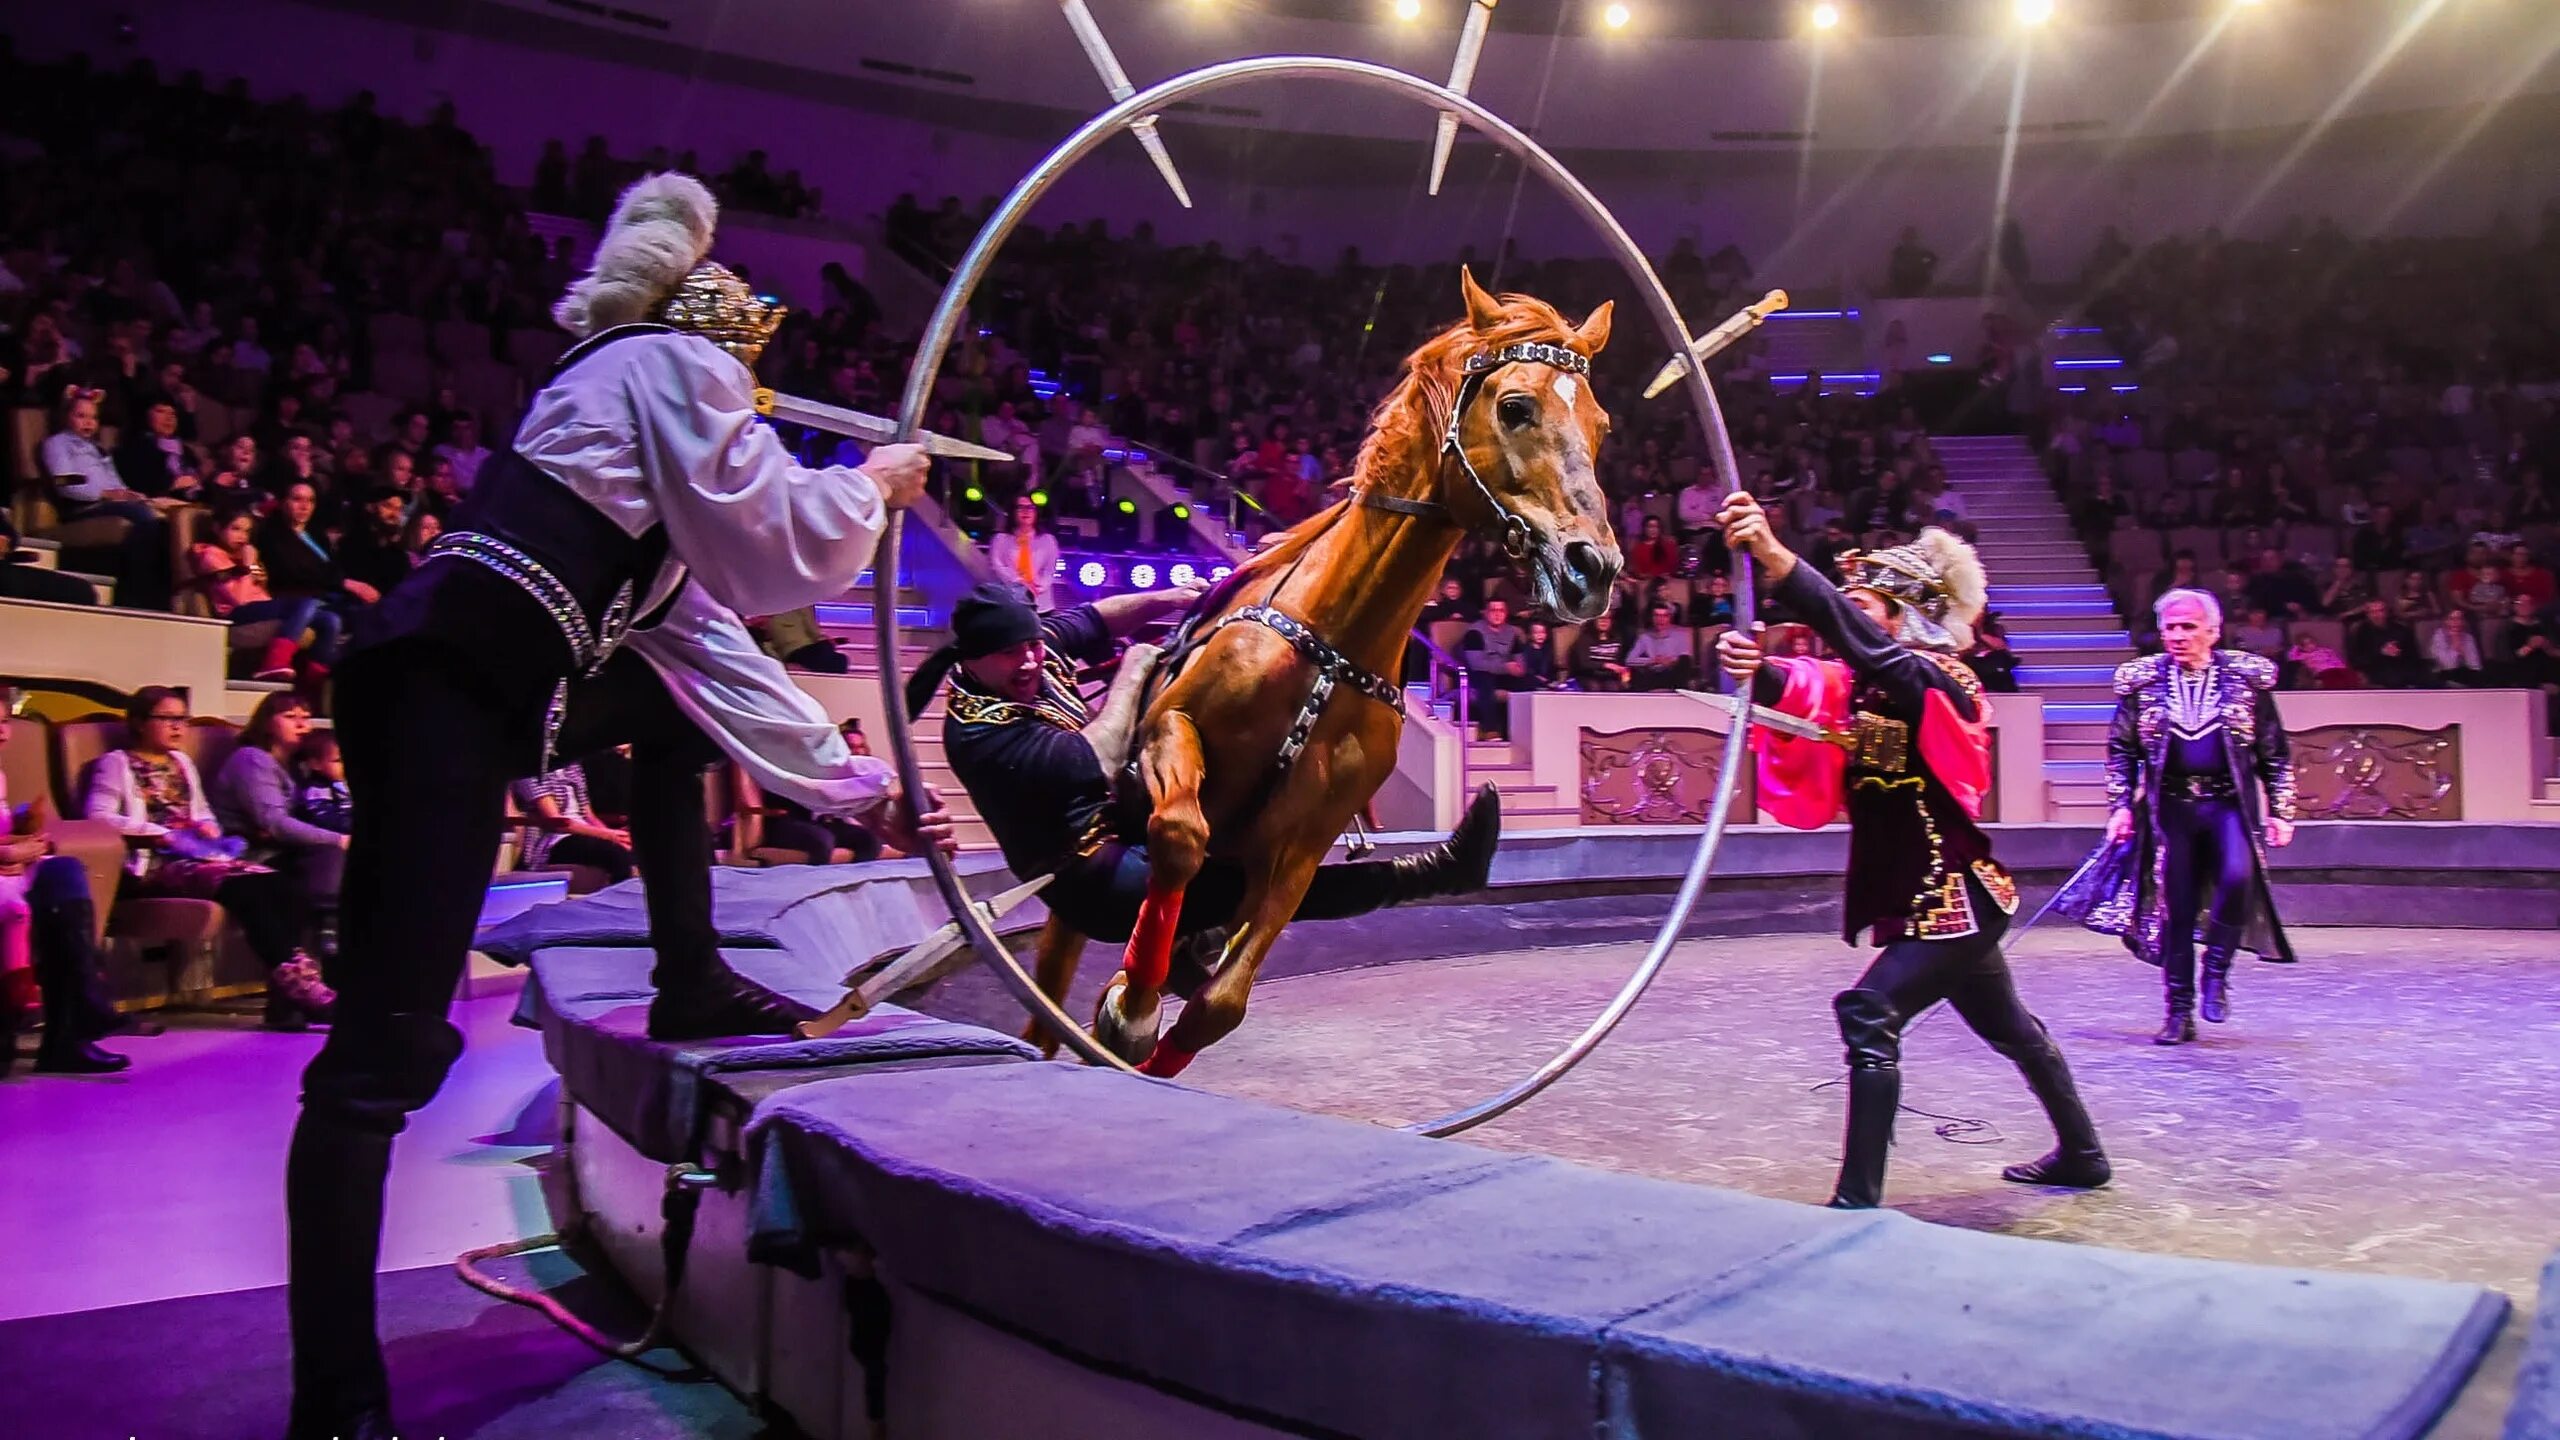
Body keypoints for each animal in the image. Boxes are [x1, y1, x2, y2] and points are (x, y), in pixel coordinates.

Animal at [1018, 271, 1617, 1076]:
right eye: (1516, 406)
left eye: (1600, 427)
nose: (1594, 568)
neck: (1331, 648)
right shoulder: (1168, 730)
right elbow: (1179, 829)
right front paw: (1132, 1007)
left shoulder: (1302, 845)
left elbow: (1220, 1006)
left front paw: (1151, 1014)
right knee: (1050, 1000)